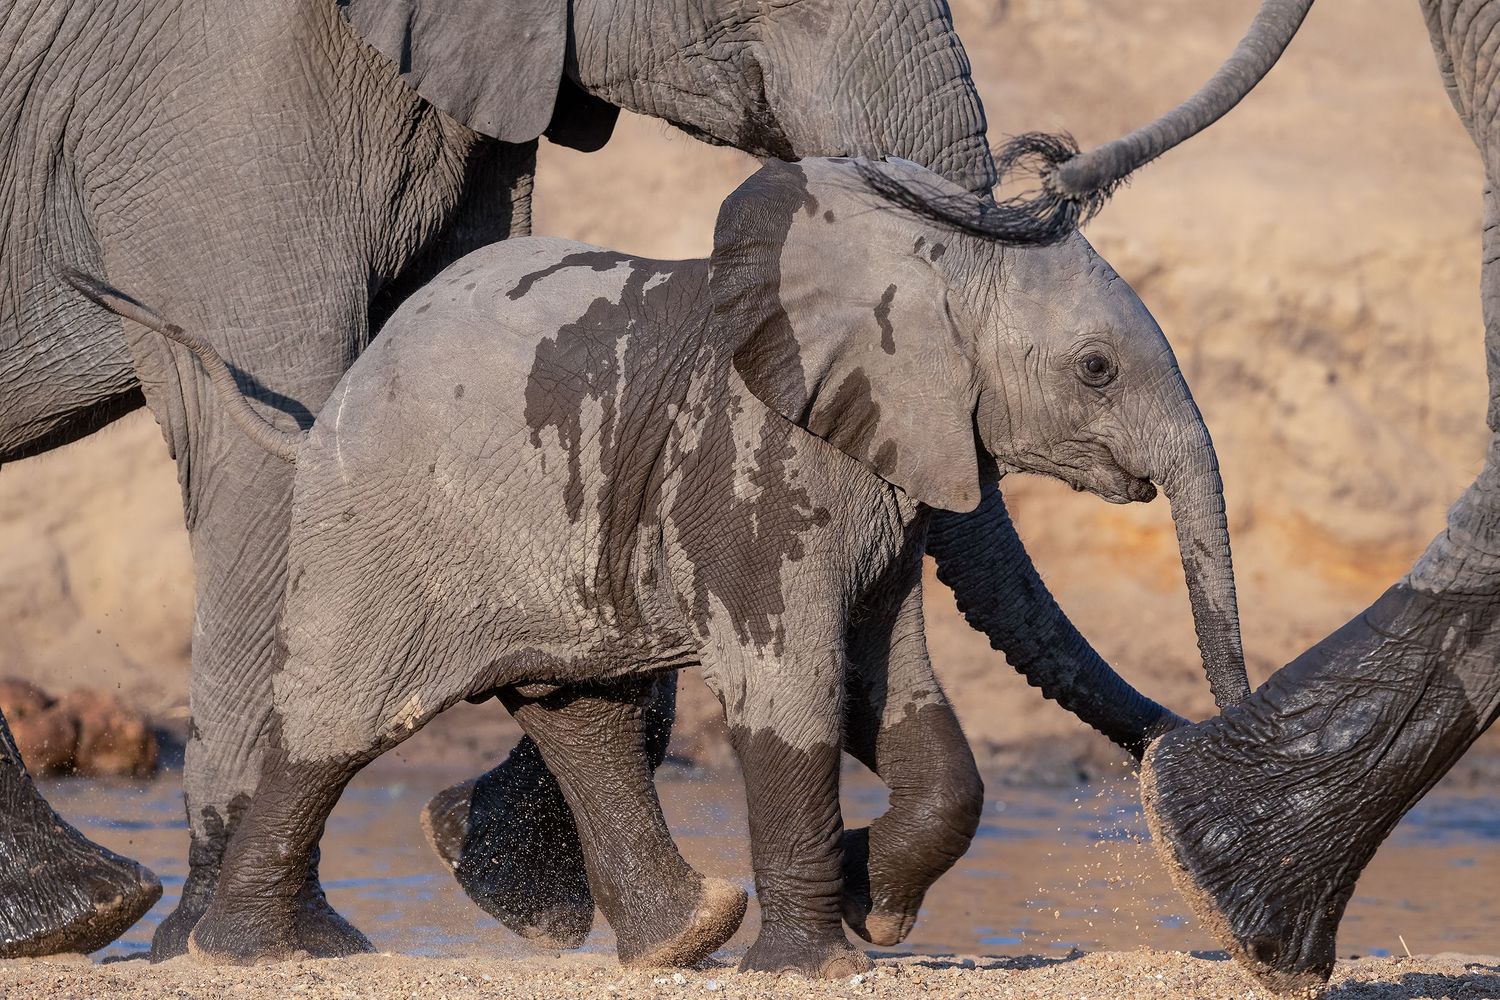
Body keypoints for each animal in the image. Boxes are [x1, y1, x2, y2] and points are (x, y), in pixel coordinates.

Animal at [0, 0, 1305, 960]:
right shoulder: (206, 89)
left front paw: (859, 903)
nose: (1189, 774)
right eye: (1094, 369)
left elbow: (882, 687)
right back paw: (232, 942)